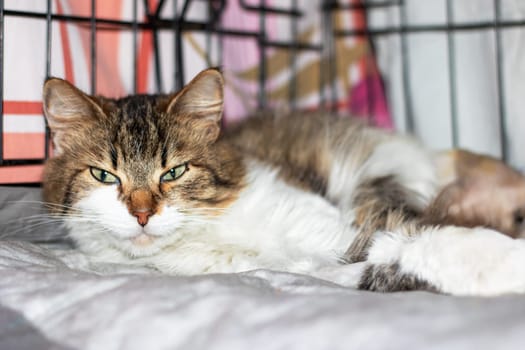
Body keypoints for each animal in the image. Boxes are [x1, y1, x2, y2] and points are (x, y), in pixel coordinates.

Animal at [42, 67, 525, 296]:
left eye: (174, 171)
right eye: (104, 175)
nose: (142, 214)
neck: (210, 233)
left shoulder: (338, 227)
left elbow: (428, 241)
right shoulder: (308, 266)